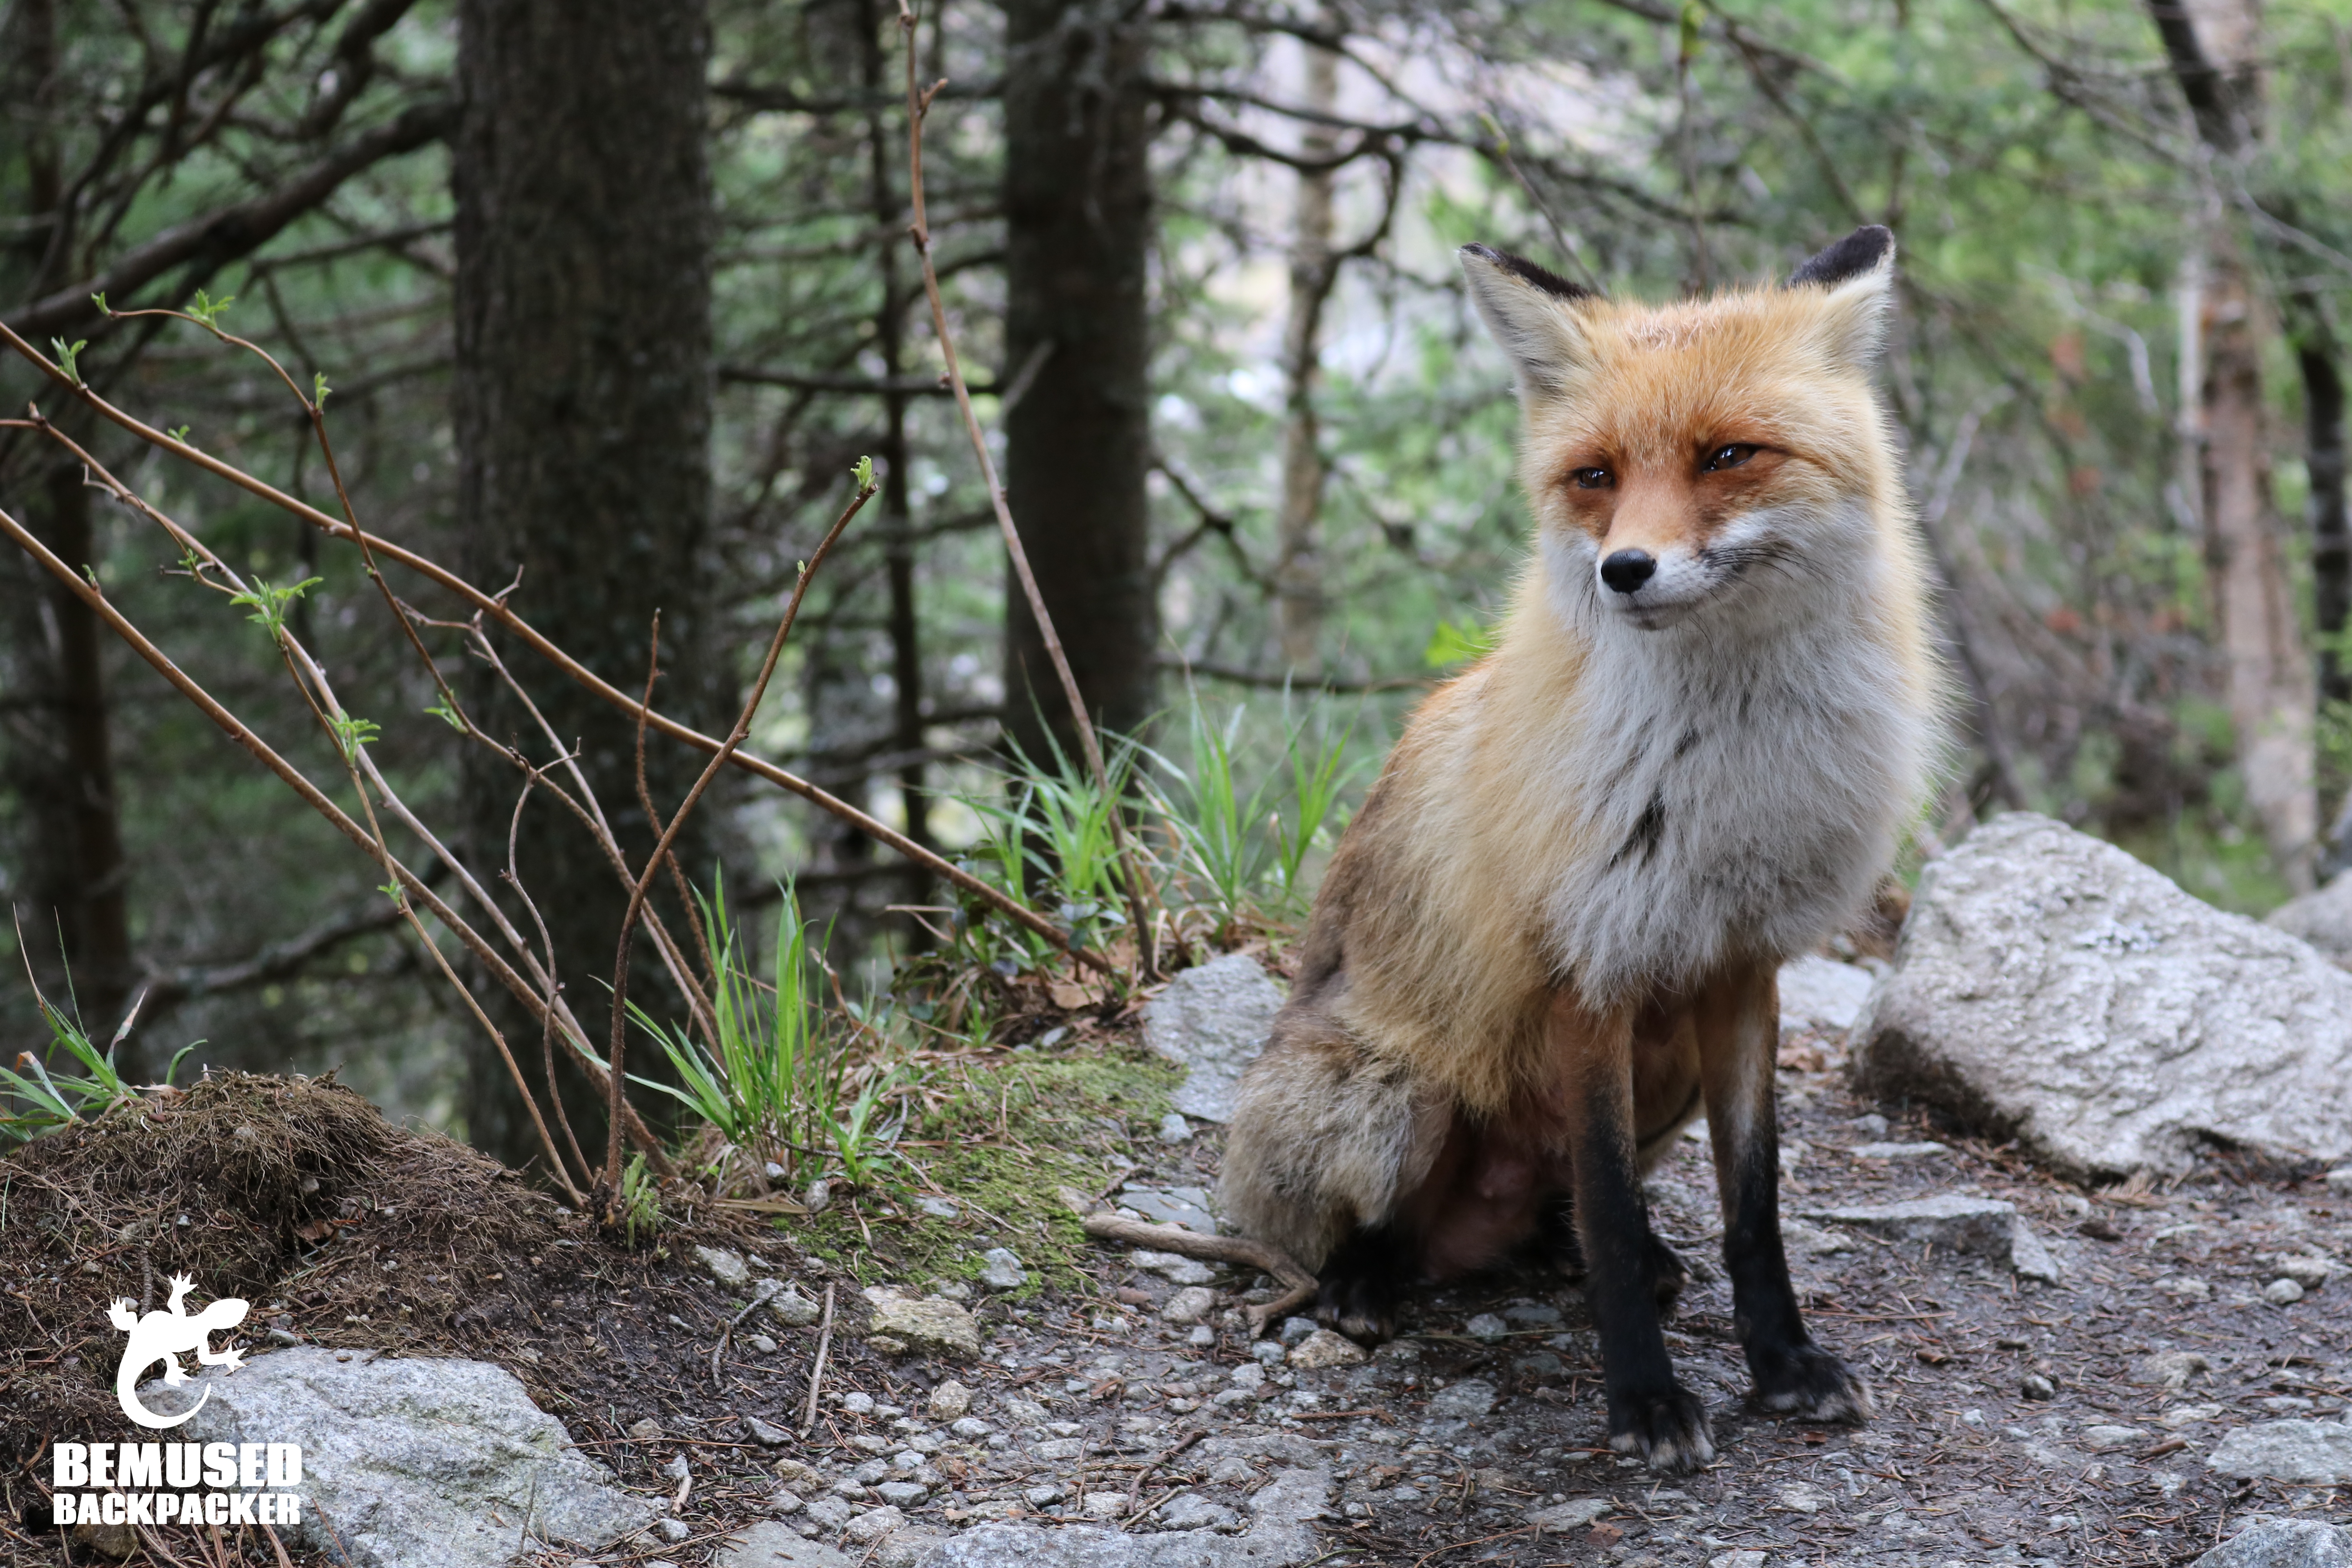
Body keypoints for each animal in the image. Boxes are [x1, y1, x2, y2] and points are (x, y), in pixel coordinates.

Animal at [1220, 225, 1942, 1472]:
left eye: (1728, 455)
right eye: (1595, 476)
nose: (1625, 571)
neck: (1723, 774)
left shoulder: (1743, 966)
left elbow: (1752, 1208)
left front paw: (1781, 1364)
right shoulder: (1586, 966)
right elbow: (1607, 1200)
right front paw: (1645, 1400)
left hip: (1670, 1074)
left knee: (1559, 1217)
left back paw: (1599, 1256)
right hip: (1399, 1098)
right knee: (1379, 1228)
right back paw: (1364, 1286)